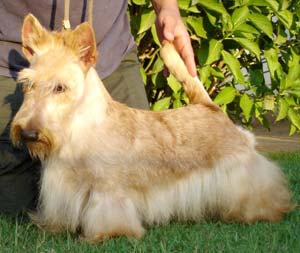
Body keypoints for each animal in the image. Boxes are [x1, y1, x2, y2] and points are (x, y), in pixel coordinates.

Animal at [10, 14, 292, 243]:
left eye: (60, 87)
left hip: (242, 168)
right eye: (28, 84)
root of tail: (211, 107)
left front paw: (106, 235)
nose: (28, 133)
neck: (78, 127)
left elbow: (108, 214)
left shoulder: (108, 190)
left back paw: (265, 211)